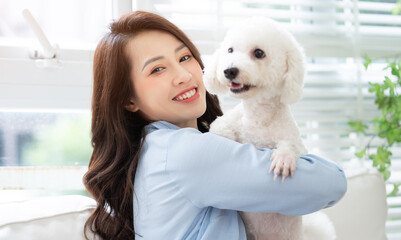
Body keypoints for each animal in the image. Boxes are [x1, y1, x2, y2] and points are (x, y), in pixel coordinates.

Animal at [203, 17, 334, 240]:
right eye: (230, 50)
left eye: (258, 53)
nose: (229, 71)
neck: (258, 116)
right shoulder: (228, 122)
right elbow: (220, 128)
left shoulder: (295, 141)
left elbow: (292, 146)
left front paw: (283, 159)